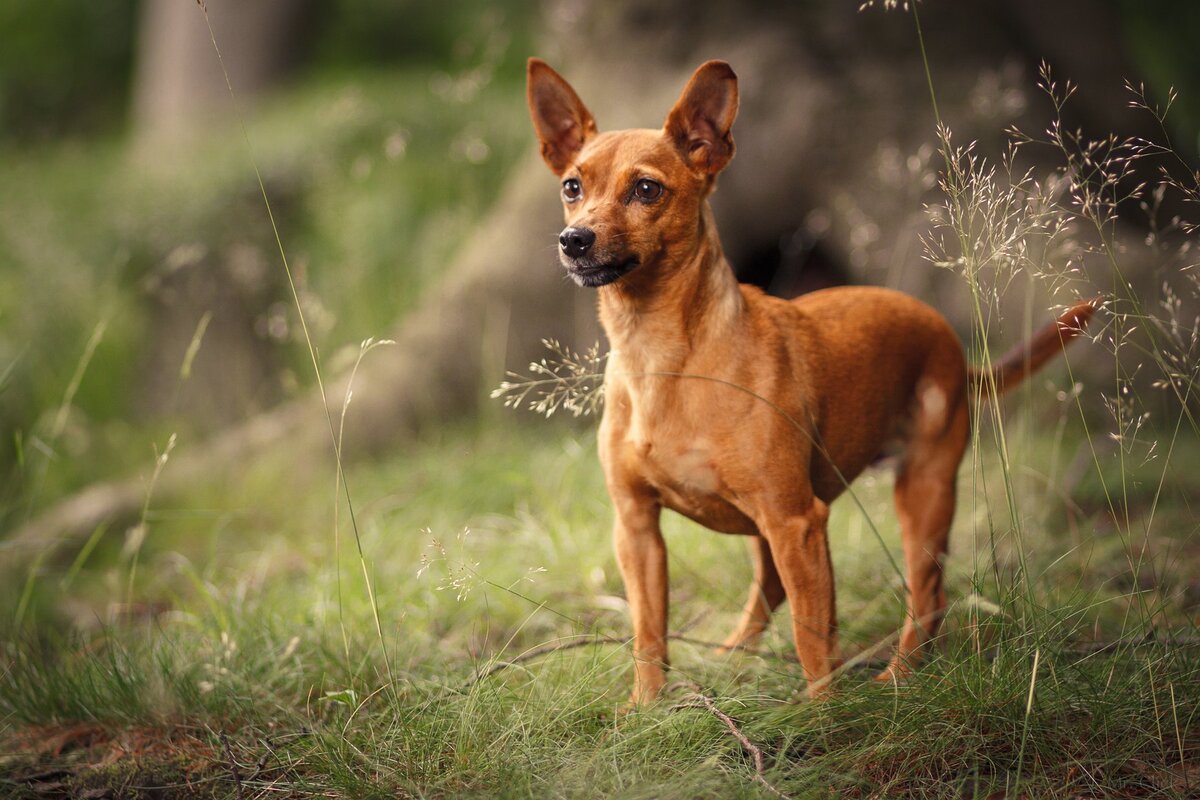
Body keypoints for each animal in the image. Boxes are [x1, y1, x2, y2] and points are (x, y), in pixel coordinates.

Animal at [525, 59, 1099, 705]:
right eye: (572, 187)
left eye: (647, 189)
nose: (574, 241)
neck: (661, 356)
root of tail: (948, 337)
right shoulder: (638, 530)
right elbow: (650, 632)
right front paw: (644, 710)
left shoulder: (797, 521)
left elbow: (811, 636)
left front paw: (823, 715)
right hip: (772, 526)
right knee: (774, 591)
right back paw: (732, 660)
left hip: (922, 493)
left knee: (926, 593)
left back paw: (897, 676)